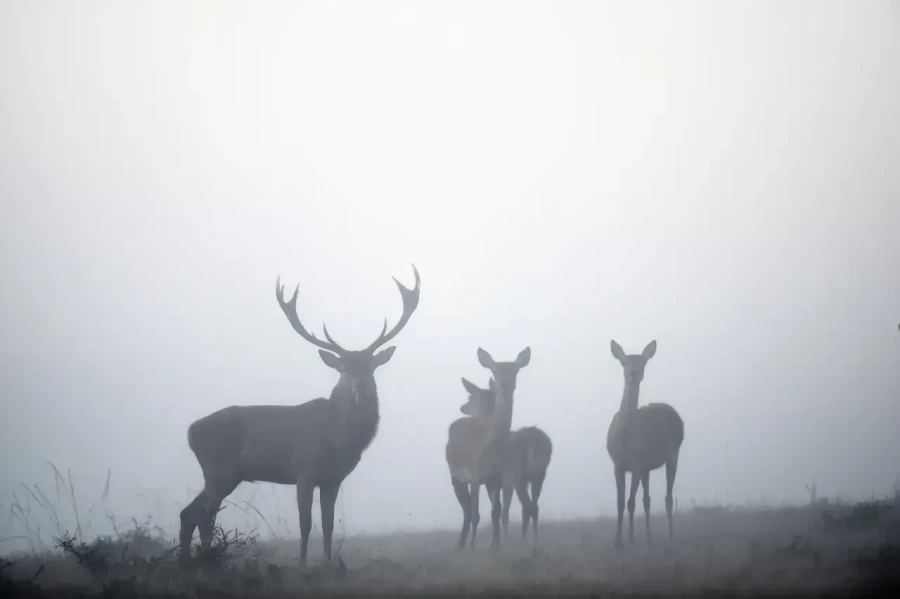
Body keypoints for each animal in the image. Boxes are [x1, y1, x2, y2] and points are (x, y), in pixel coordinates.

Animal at [177, 265, 421, 569]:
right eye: (344, 368)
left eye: (371, 366)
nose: (360, 385)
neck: (338, 438)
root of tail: (190, 431)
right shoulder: (304, 470)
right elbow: (306, 523)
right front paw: (302, 565)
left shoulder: (333, 478)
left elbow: (328, 524)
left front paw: (328, 563)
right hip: (218, 469)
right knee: (204, 515)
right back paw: (207, 560)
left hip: (225, 474)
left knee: (190, 513)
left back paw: (187, 561)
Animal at [445, 347, 531, 551]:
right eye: (495, 370)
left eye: (516, 370)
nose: (506, 385)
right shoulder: (475, 476)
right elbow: (477, 514)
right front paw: (473, 547)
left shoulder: (497, 478)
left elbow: (496, 512)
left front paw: (496, 547)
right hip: (455, 476)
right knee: (467, 510)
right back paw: (461, 545)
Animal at [456, 379, 553, 546]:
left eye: (471, 398)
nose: (463, 408)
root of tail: (538, 443)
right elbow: (500, 510)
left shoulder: (501, 481)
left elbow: (501, 512)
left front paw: (499, 543)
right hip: (539, 475)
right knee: (533, 506)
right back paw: (532, 542)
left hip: (517, 476)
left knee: (526, 506)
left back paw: (522, 542)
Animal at [606, 339, 684, 549]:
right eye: (624, 363)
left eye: (643, 362)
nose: (634, 373)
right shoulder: (618, 465)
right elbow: (620, 503)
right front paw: (618, 540)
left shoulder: (636, 464)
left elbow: (630, 502)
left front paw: (630, 539)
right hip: (648, 469)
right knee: (647, 500)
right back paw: (649, 537)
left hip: (673, 455)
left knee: (667, 497)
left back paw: (671, 536)